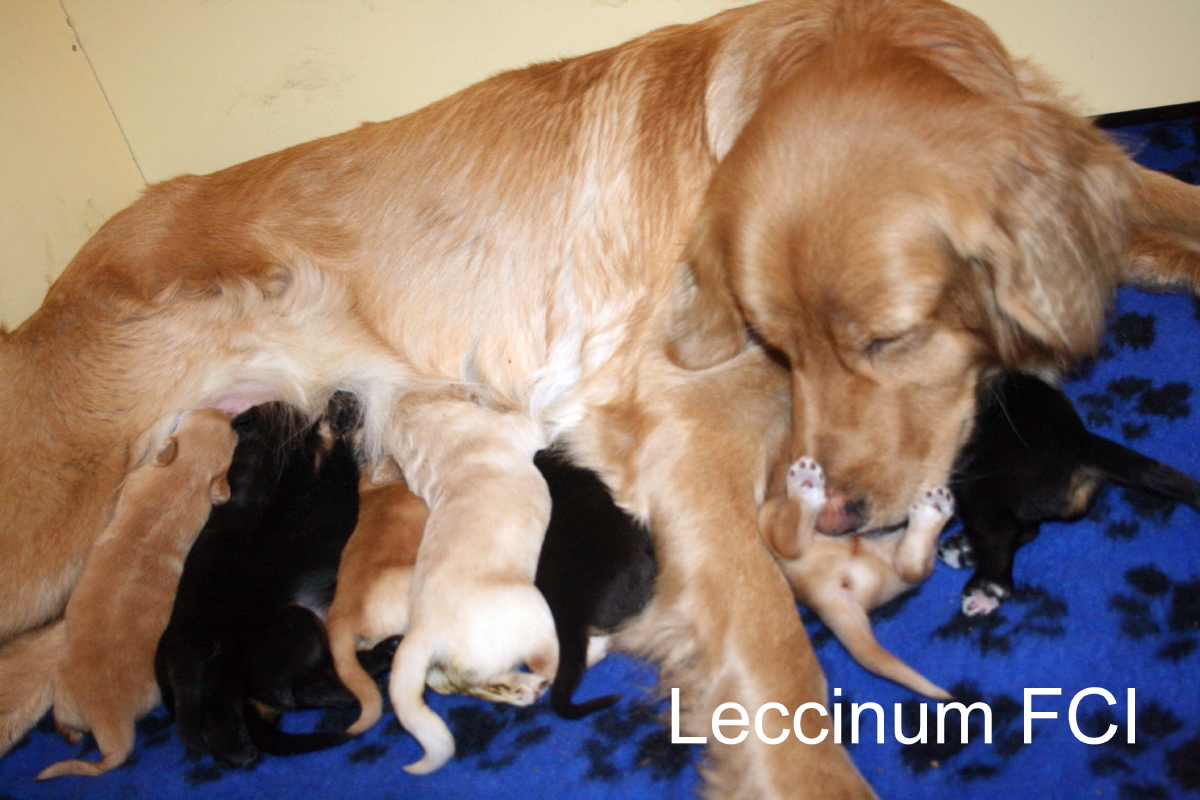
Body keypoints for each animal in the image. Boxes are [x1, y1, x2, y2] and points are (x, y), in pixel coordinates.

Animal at [155, 399, 362, 767]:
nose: (342, 396)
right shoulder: (311, 472)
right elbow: (336, 452)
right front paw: (339, 420)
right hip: (295, 625)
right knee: (292, 693)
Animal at [760, 458, 953, 700]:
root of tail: (825, 599)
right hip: (892, 566)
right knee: (913, 567)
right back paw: (933, 513)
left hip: (770, 521)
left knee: (787, 540)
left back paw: (805, 487)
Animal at [940, 370, 1200, 616]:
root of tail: (1079, 441)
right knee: (1027, 529)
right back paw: (962, 549)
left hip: (981, 484)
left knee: (1005, 532)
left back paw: (986, 589)